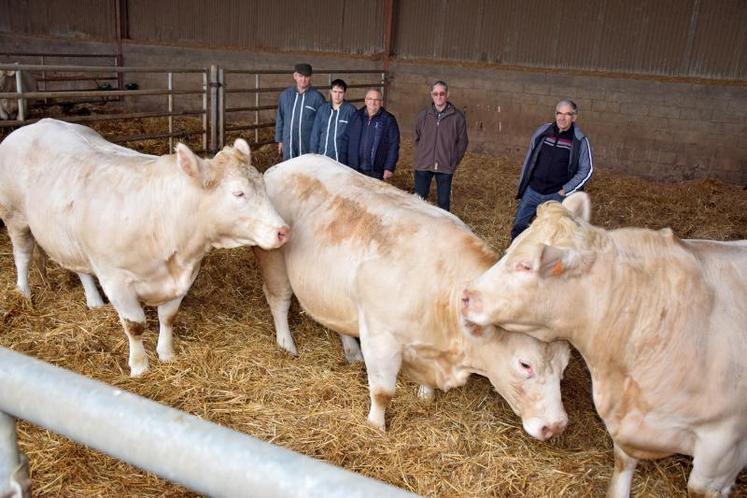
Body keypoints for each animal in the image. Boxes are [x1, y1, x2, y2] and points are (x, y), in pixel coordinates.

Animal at [0, 118, 290, 376]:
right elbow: (135, 325)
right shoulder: (115, 279)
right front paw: (139, 366)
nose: (283, 231)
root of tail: (34, 126)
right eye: (238, 193)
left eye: (263, 186)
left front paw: (166, 354)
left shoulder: (183, 278)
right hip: (15, 216)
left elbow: (168, 317)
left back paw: (93, 301)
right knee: (22, 254)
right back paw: (24, 292)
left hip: (68, 238)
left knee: (79, 268)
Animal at [254, 154, 568, 438]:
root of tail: (285, 164)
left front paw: (425, 395)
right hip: (274, 261)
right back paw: (287, 345)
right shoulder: (380, 338)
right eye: (525, 364)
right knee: (279, 301)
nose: (556, 426)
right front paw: (376, 427)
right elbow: (382, 392)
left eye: (565, 367)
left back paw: (351, 351)